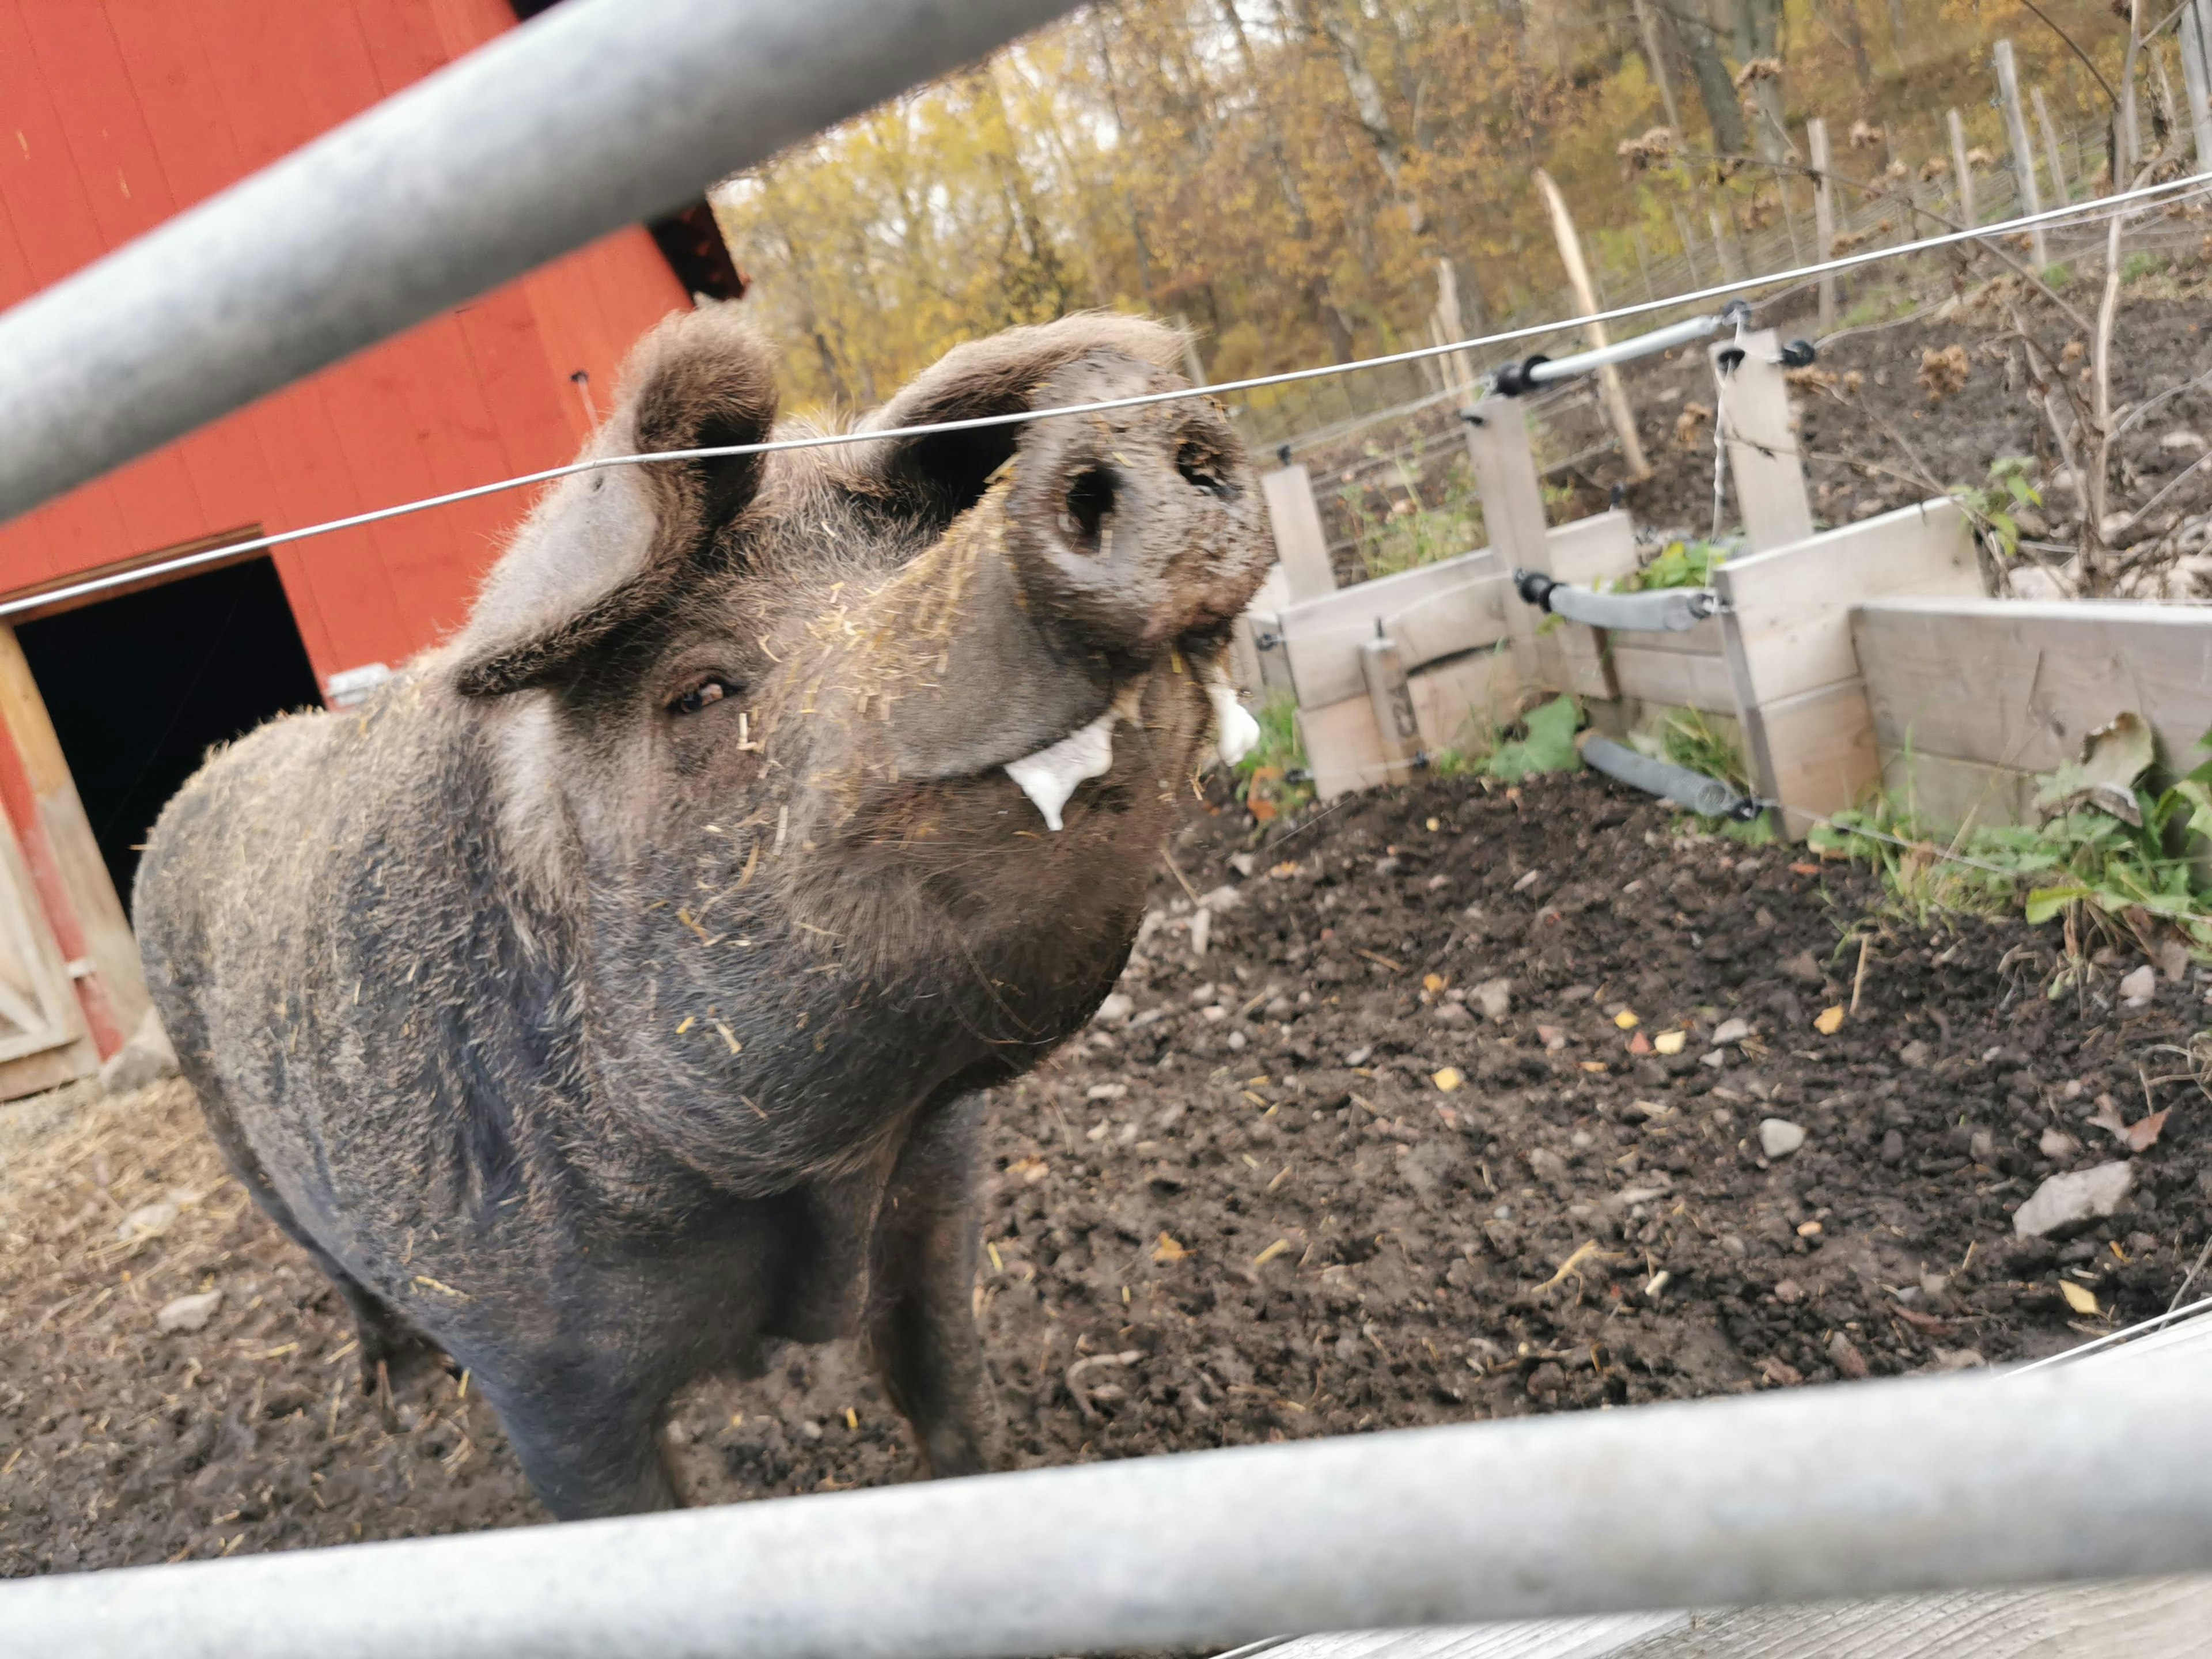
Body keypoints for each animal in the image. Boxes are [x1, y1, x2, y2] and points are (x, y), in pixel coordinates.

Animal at [138, 305, 1274, 1531]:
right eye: (700, 691)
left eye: (912, 558)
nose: (1119, 407)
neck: (816, 1183)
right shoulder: (537, 1369)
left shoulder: (943, 1203)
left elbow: (953, 1404)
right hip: (238, 1138)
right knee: (334, 1269)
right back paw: (404, 1393)